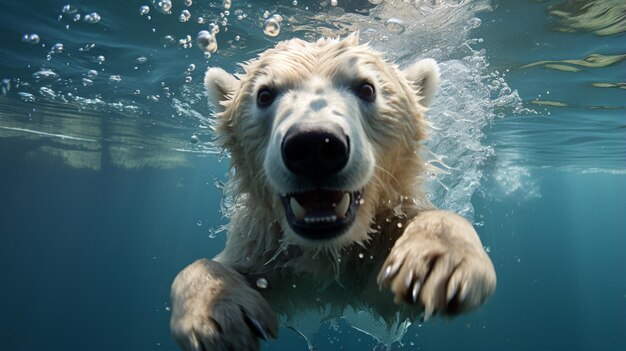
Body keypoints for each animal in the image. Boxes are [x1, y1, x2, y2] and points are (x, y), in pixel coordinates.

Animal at [168, 33, 494, 351]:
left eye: (367, 88)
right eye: (264, 94)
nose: (314, 145)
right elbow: (224, 270)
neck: (329, 251)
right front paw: (217, 313)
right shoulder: (268, 252)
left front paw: (437, 262)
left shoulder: (380, 242)